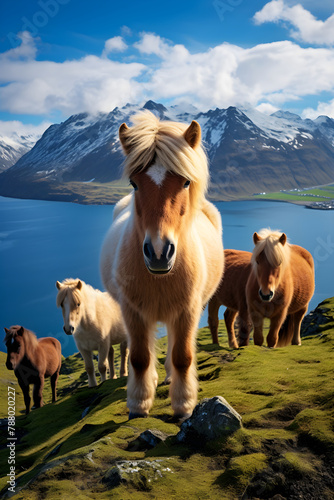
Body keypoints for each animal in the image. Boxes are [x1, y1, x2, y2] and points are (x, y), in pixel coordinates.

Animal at [100, 111, 224, 420]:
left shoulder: (188, 310)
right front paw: (139, 403)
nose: (159, 253)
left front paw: (183, 404)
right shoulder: (133, 311)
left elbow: (182, 357)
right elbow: (140, 357)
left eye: (185, 183)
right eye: (134, 183)